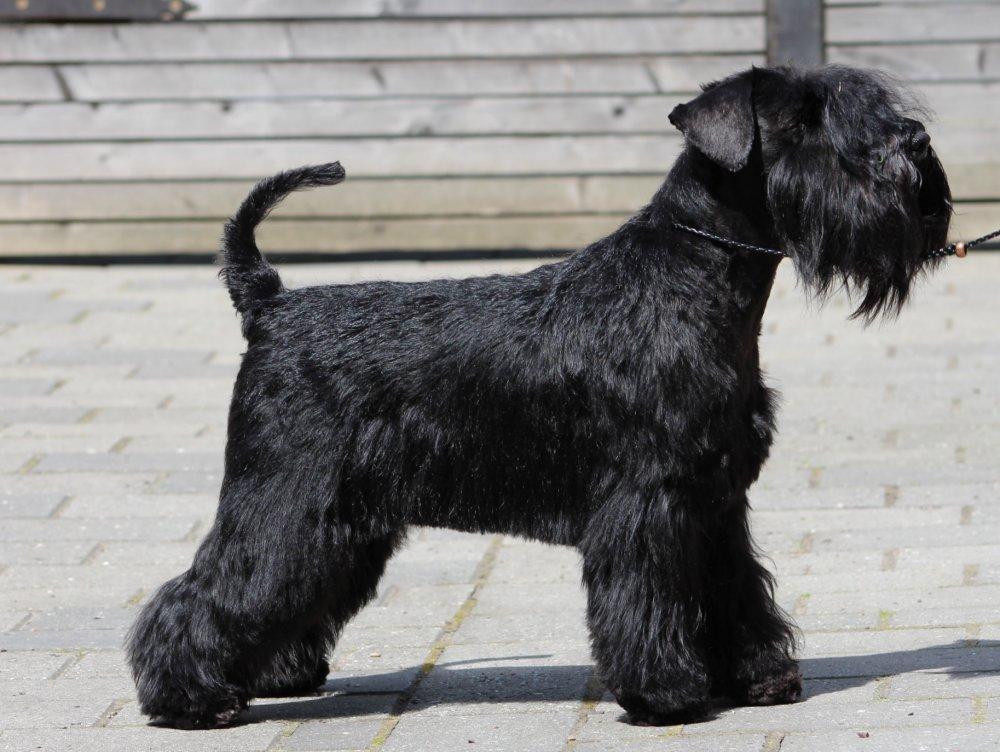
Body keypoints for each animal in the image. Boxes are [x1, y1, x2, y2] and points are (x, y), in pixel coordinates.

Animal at [127, 64, 952, 728]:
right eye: (805, 119)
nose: (913, 145)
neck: (692, 279)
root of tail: (267, 303)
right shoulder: (650, 498)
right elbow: (651, 597)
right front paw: (666, 696)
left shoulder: (716, 500)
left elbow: (735, 592)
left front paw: (759, 678)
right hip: (286, 497)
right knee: (210, 588)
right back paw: (190, 699)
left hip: (345, 522)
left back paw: (274, 676)